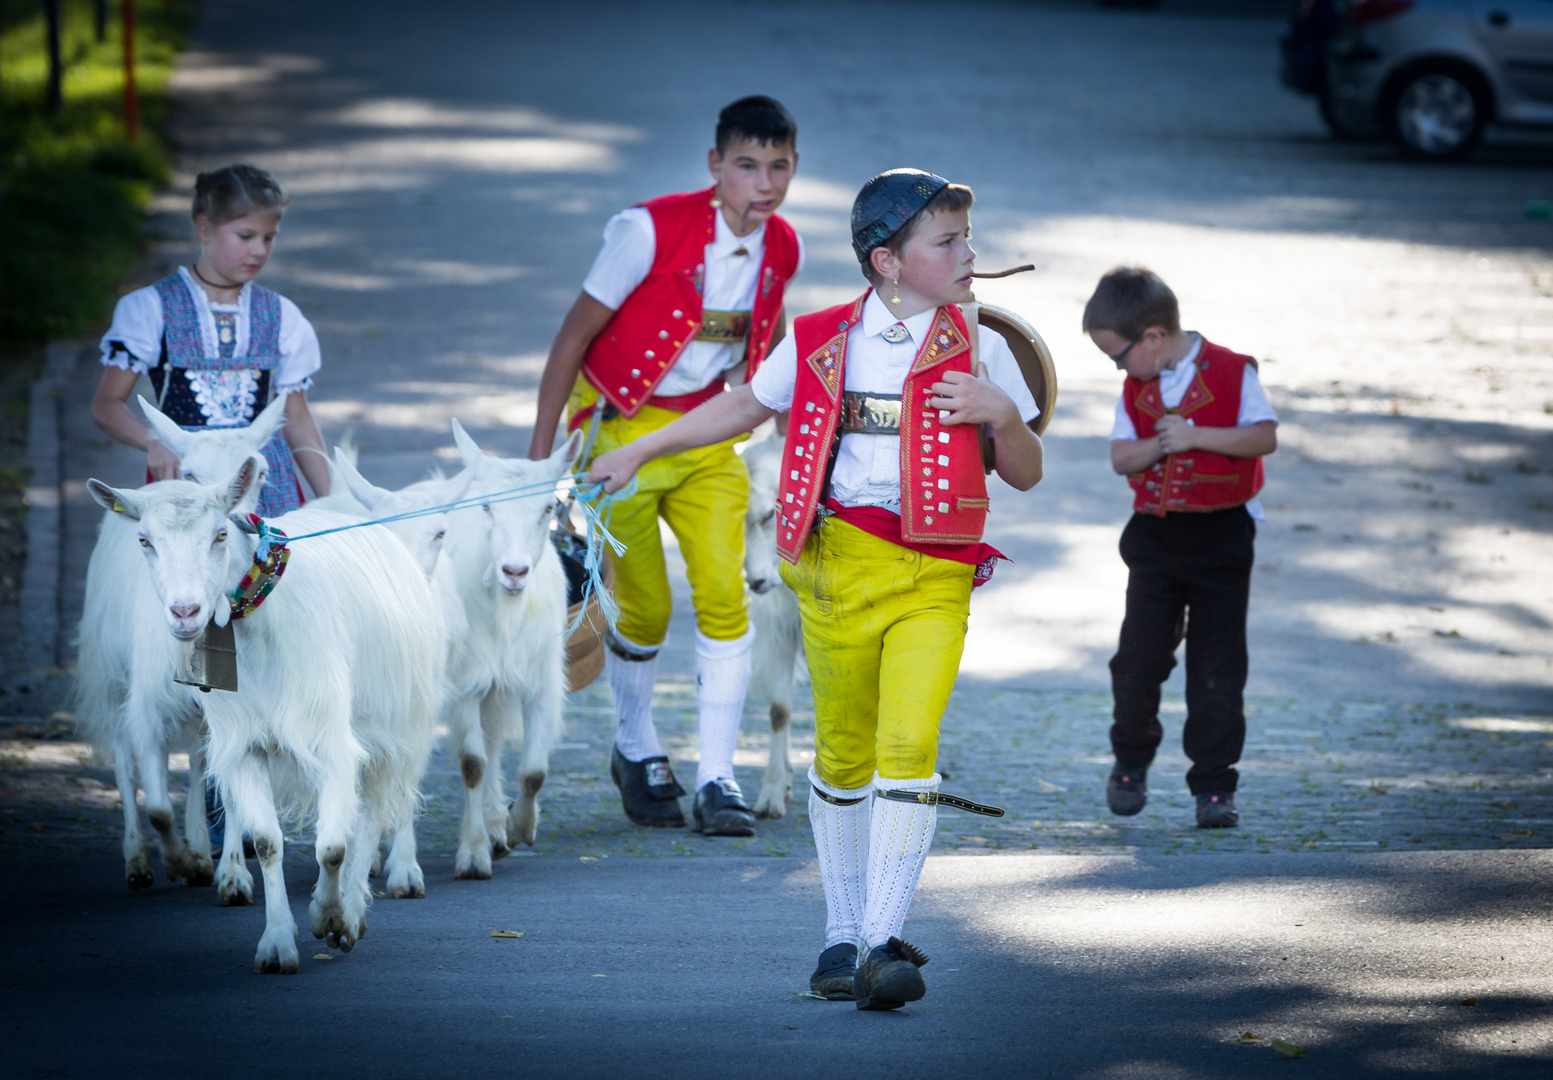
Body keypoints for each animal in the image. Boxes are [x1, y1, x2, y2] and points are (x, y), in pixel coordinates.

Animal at [75, 393, 290, 888]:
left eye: (259, 473)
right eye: (145, 540)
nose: (185, 610)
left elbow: (225, 788)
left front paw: (230, 874)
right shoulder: (145, 705)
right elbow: (156, 806)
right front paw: (173, 860)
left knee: (195, 763)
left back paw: (199, 847)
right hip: (109, 671)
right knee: (123, 760)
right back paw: (137, 859)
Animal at [87, 459, 444, 975]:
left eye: (219, 534)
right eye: (144, 540)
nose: (185, 612)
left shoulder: (332, 740)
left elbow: (333, 846)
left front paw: (328, 916)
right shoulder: (241, 743)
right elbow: (266, 842)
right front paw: (277, 944)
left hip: (396, 728)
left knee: (372, 815)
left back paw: (353, 913)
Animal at [441, 419, 580, 876]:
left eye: (548, 509)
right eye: (487, 508)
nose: (514, 571)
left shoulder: (542, 681)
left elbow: (534, 771)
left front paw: (520, 828)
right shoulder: (467, 683)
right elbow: (472, 764)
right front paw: (473, 854)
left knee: (497, 740)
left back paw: (498, 827)